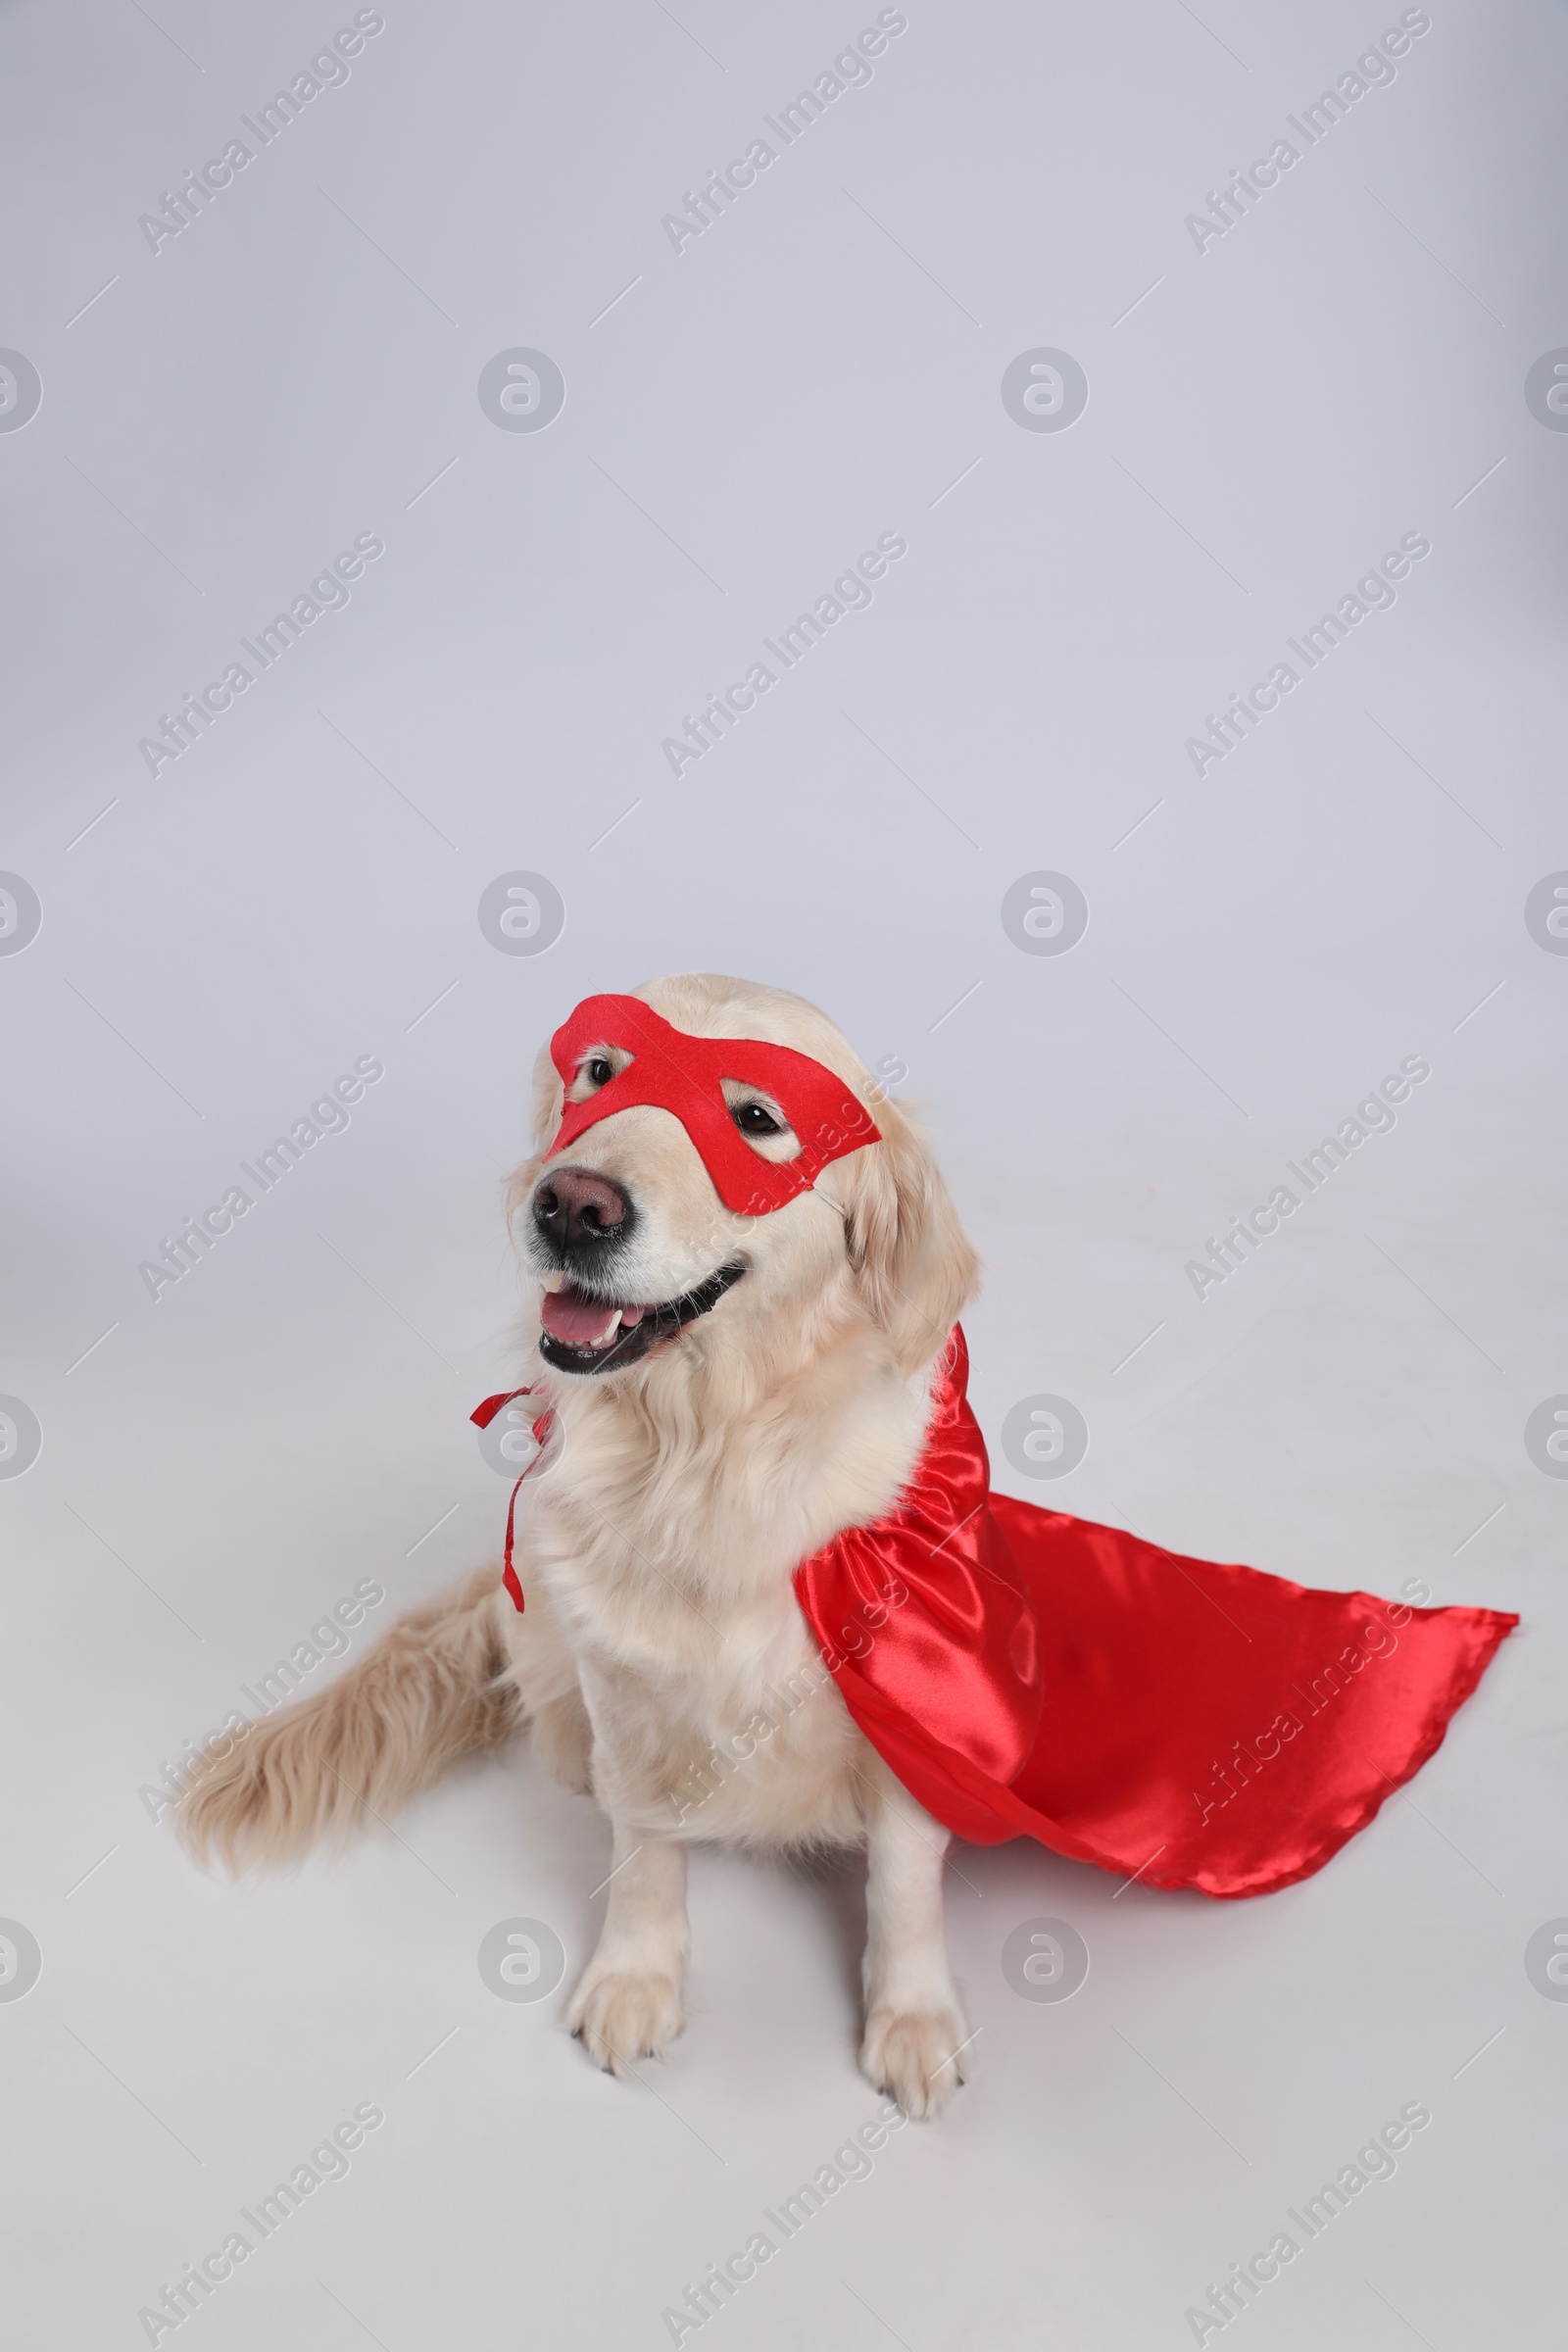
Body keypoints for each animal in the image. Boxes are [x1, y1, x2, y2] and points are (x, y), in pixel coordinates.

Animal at [184, 968, 982, 2117]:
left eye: (756, 1120)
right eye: (600, 1072)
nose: (571, 1205)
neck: (704, 1452)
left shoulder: (914, 1679)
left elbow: (905, 1876)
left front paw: (911, 2020)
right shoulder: (623, 1679)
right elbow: (645, 1842)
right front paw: (636, 1980)